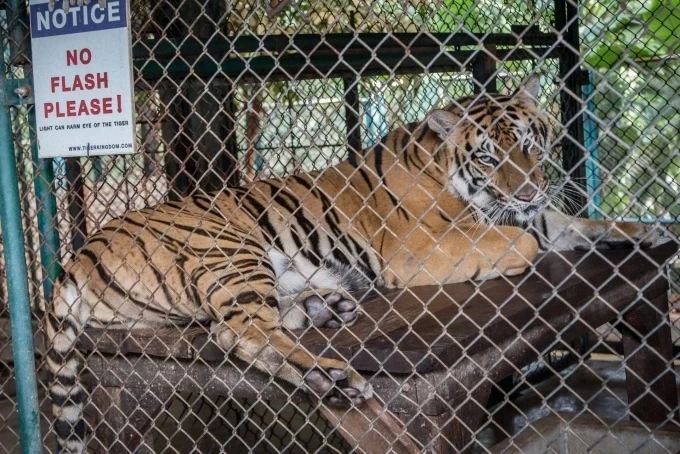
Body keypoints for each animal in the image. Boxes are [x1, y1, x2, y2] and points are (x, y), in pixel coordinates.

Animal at [46, 75, 661, 453]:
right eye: (490, 156)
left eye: (532, 144)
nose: (530, 188)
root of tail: (80, 251)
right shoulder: (420, 250)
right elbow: (526, 243)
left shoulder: (531, 215)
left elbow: (573, 224)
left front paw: (645, 232)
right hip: (231, 247)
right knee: (237, 332)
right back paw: (334, 374)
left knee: (247, 323)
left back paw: (326, 308)